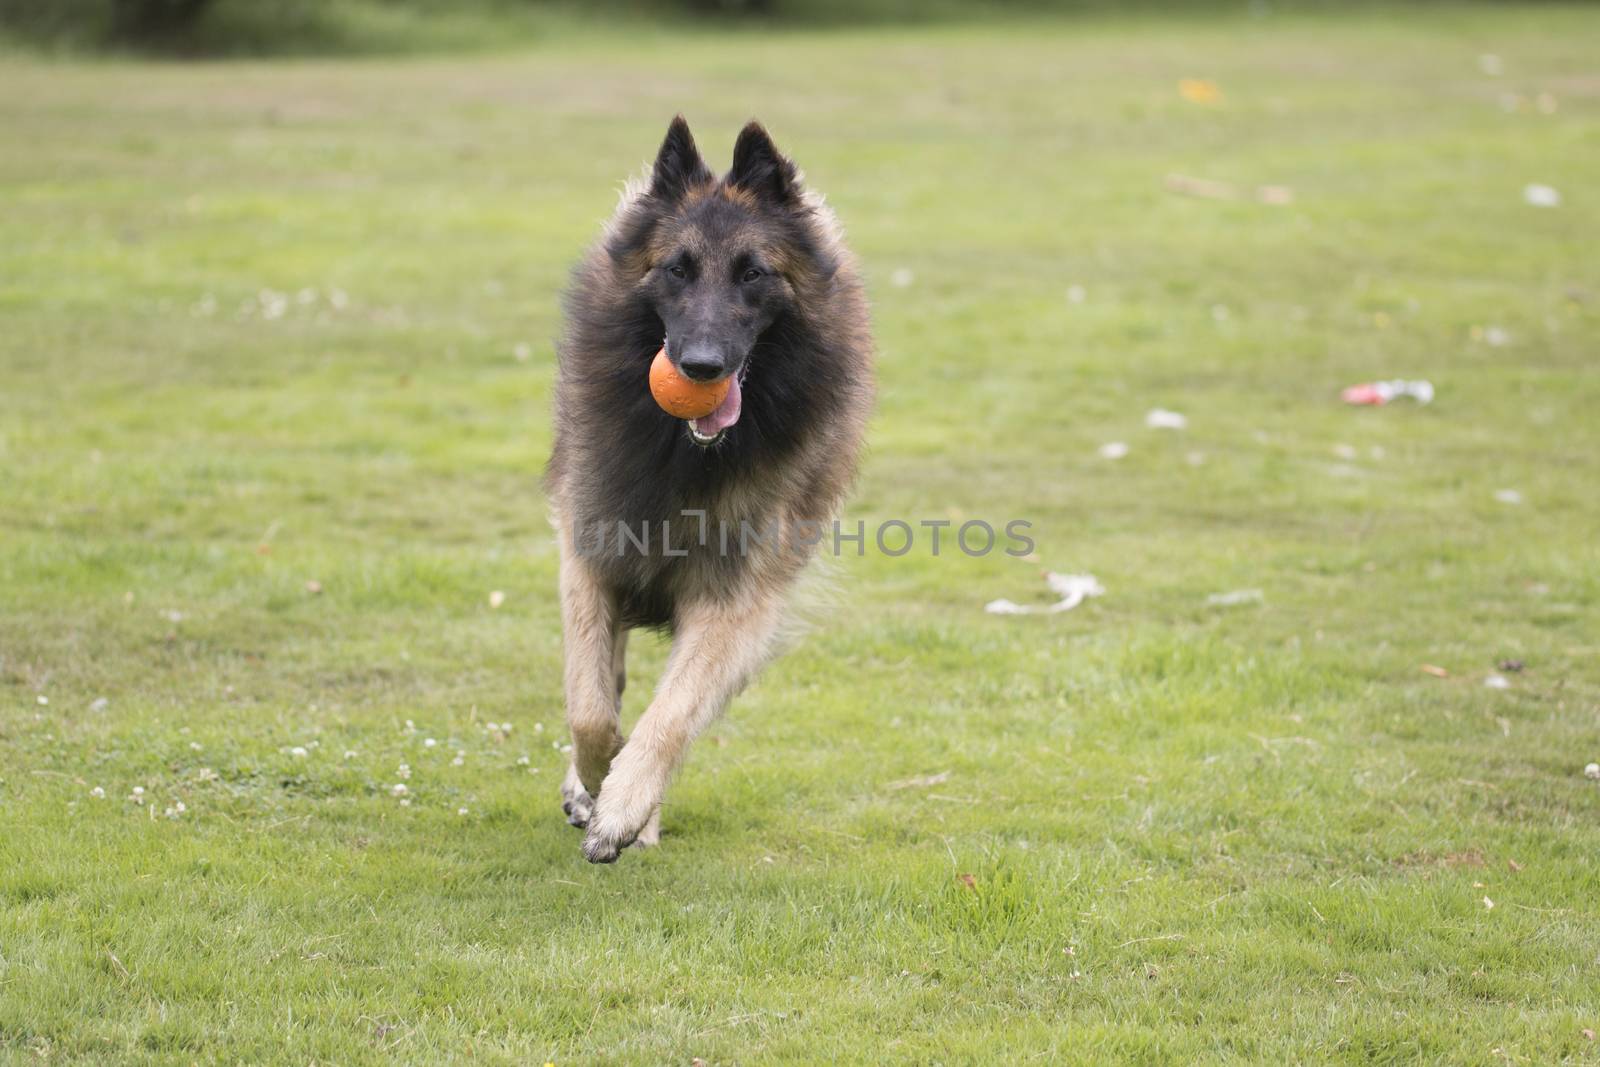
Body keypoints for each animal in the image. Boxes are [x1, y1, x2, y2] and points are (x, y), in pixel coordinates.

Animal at [547, 116, 876, 863]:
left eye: (752, 273)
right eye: (678, 269)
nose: (699, 366)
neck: (688, 458)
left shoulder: (735, 603)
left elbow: (669, 715)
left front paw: (625, 805)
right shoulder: (591, 556)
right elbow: (590, 709)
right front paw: (598, 784)